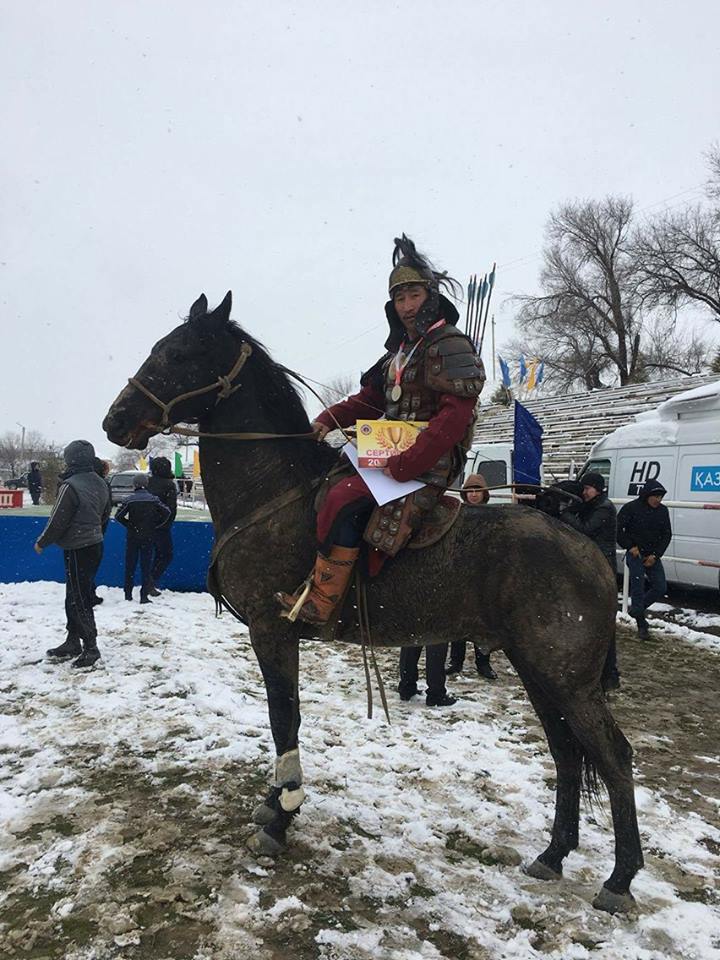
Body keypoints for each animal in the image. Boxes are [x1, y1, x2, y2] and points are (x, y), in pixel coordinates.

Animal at [102, 291, 643, 914]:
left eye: (179, 353)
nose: (115, 420)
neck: (272, 493)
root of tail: (590, 551)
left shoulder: (272, 630)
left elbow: (284, 716)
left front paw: (282, 815)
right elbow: (284, 719)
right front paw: (275, 801)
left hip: (567, 679)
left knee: (612, 755)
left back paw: (620, 879)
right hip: (539, 672)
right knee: (566, 754)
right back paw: (554, 855)